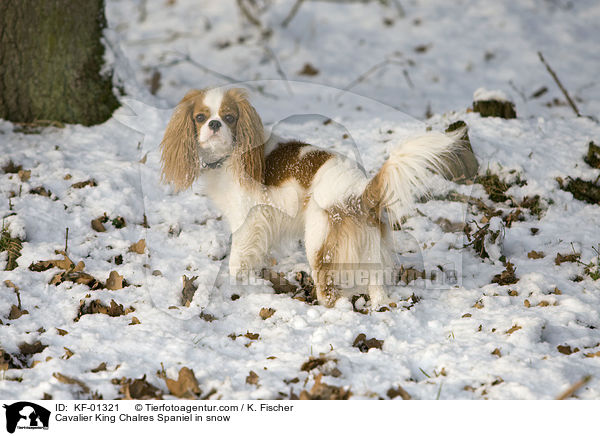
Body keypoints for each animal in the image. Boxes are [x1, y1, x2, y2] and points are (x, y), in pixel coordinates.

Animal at [161, 87, 464, 308]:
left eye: (229, 118)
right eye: (200, 117)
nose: (214, 124)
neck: (234, 155)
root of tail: (361, 190)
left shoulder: (248, 222)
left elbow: (238, 259)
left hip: (318, 243)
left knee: (330, 294)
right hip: (370, 250)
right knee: (376, 287)